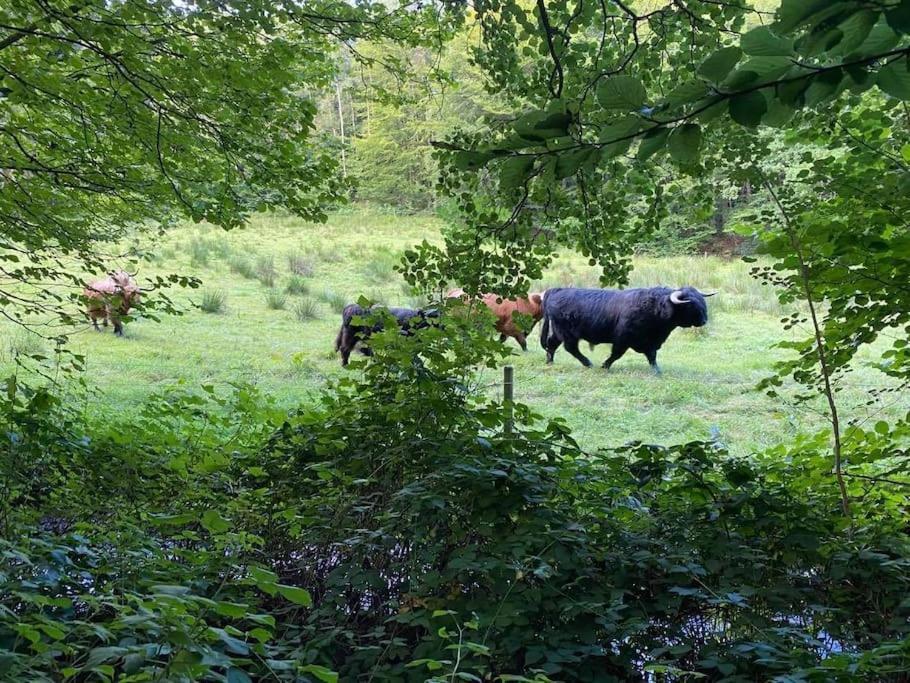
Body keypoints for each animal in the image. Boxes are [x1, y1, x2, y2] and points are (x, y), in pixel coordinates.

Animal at [540, 288, 712, 376]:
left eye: (702, 300)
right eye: (690, 304)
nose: (704, 320)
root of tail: (557, 290)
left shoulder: (650, 342)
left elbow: (652, 356)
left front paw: (657, 371)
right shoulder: (623, 339)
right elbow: (616, 354)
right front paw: (605, 366)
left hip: (558, 332)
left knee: (552, 344)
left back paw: (550, 362)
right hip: (567, 332)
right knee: (570, 348)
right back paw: (587, 363)